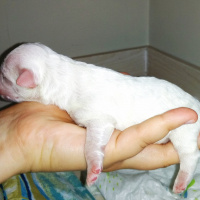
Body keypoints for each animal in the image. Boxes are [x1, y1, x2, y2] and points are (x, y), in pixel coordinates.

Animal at [0, 42, 200, 194]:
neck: (60, 72)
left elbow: (92, 145)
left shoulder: (99, 120)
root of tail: (196, 103)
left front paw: (92, 173)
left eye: (4, 76)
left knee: (190, 155)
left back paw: (180, 183)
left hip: (184, 130)